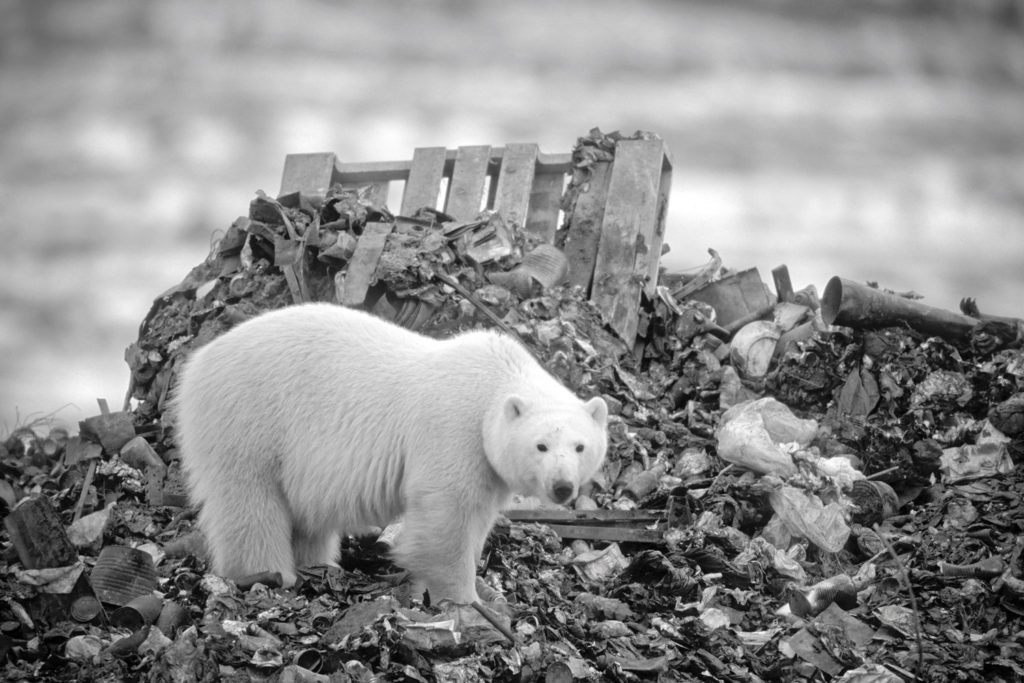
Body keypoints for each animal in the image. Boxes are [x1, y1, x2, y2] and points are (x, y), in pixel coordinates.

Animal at [173, 305, 606, 602]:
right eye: (541, 445)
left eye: (580, 446)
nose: (563, 487)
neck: (494, 381)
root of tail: (197, 362)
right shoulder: (453, 428)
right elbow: (447, 516)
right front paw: (466, 599)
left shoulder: (488, 462)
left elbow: (477, 516)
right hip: (250, 418)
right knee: (249, 501)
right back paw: (269, 573)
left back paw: (319, 564)